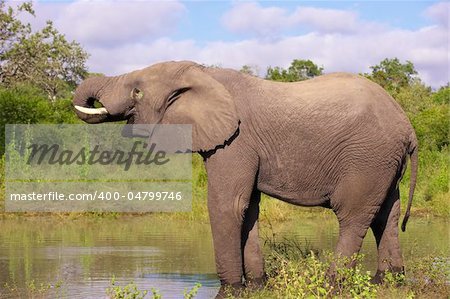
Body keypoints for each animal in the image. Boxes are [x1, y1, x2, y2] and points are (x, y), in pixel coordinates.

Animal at [73, 61, 418, 298]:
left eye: (137, 91)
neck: (202, 72)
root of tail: (408, 127)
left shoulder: (236, 141)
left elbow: (227, 205)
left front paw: (230, 290)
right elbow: (248, 208)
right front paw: (256, 285)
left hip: (367, 157)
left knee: (353, 216)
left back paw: (332, 285)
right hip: (384, 162)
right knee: (387, 215)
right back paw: (389, 281)